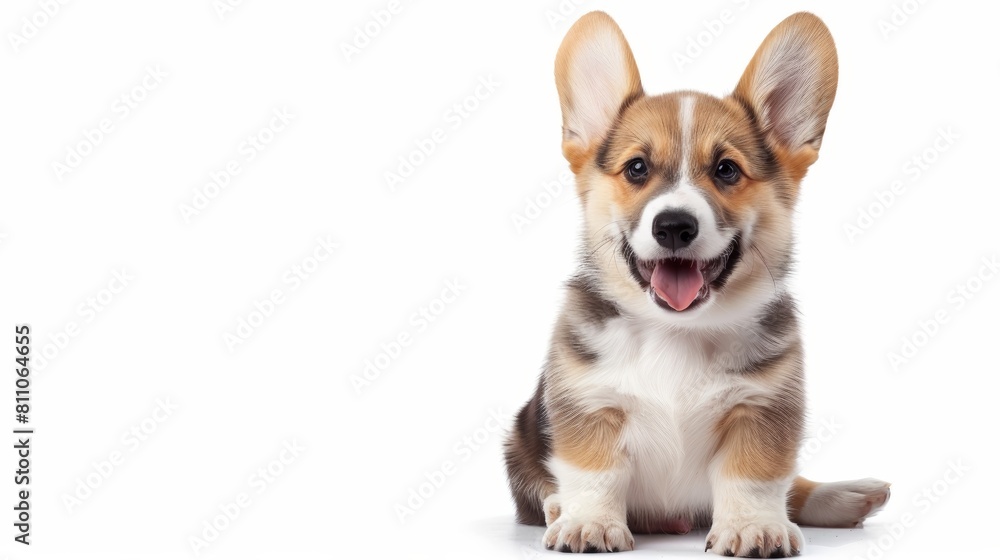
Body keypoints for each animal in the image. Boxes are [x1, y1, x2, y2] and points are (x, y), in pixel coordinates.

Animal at [508, 12, 892, 556]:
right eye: (637, 168)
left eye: (727, 170)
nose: (673, 226)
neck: (677, 333)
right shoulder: (588, 401)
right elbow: (594, 470)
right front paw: (588, 522)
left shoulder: (763, 407)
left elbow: (753, 476)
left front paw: (753, 527)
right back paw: (560, 506)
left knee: (792, 487)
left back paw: (845, 495)